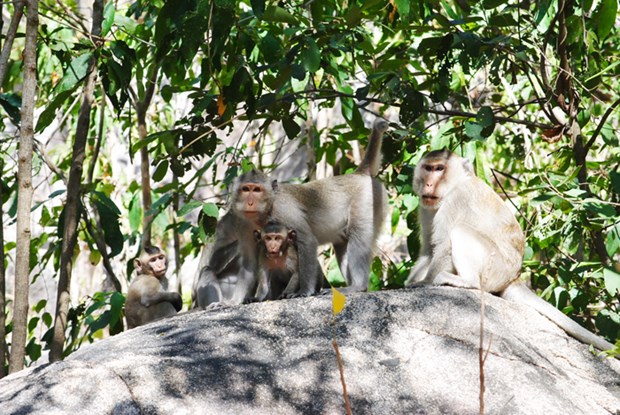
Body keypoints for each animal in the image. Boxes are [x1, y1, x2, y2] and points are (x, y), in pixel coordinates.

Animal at [406, 148, 616, 352]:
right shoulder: (425, 207)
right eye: (428, 168)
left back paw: (467, 281)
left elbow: (444, 247)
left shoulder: (457, 199)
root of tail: (514, 276)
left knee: (460, 231)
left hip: (495, 268)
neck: (455, 185)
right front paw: (409, 282)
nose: (428, 184)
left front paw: (425, 282)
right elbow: (428, 251)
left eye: (439, 169)